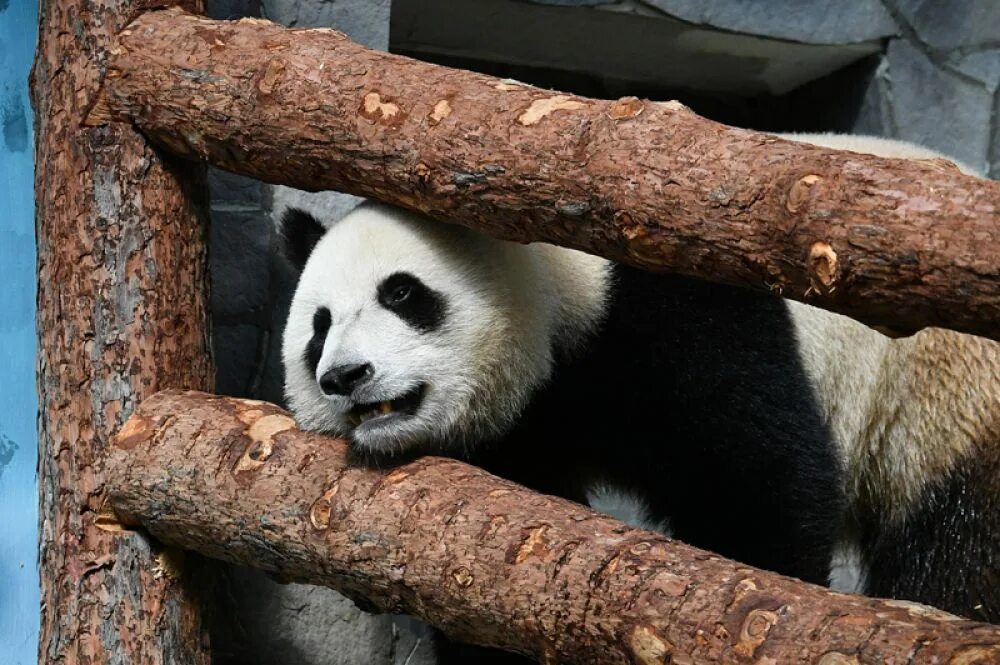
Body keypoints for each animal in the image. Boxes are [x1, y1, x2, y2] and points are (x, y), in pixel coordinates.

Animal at [282, 132, 1000, 660]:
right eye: (319, 326)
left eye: (403, 294)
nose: (344, 376)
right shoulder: (526, 429)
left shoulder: (681, 318)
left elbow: (761, 476)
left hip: (950, 400)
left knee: (959, 546)